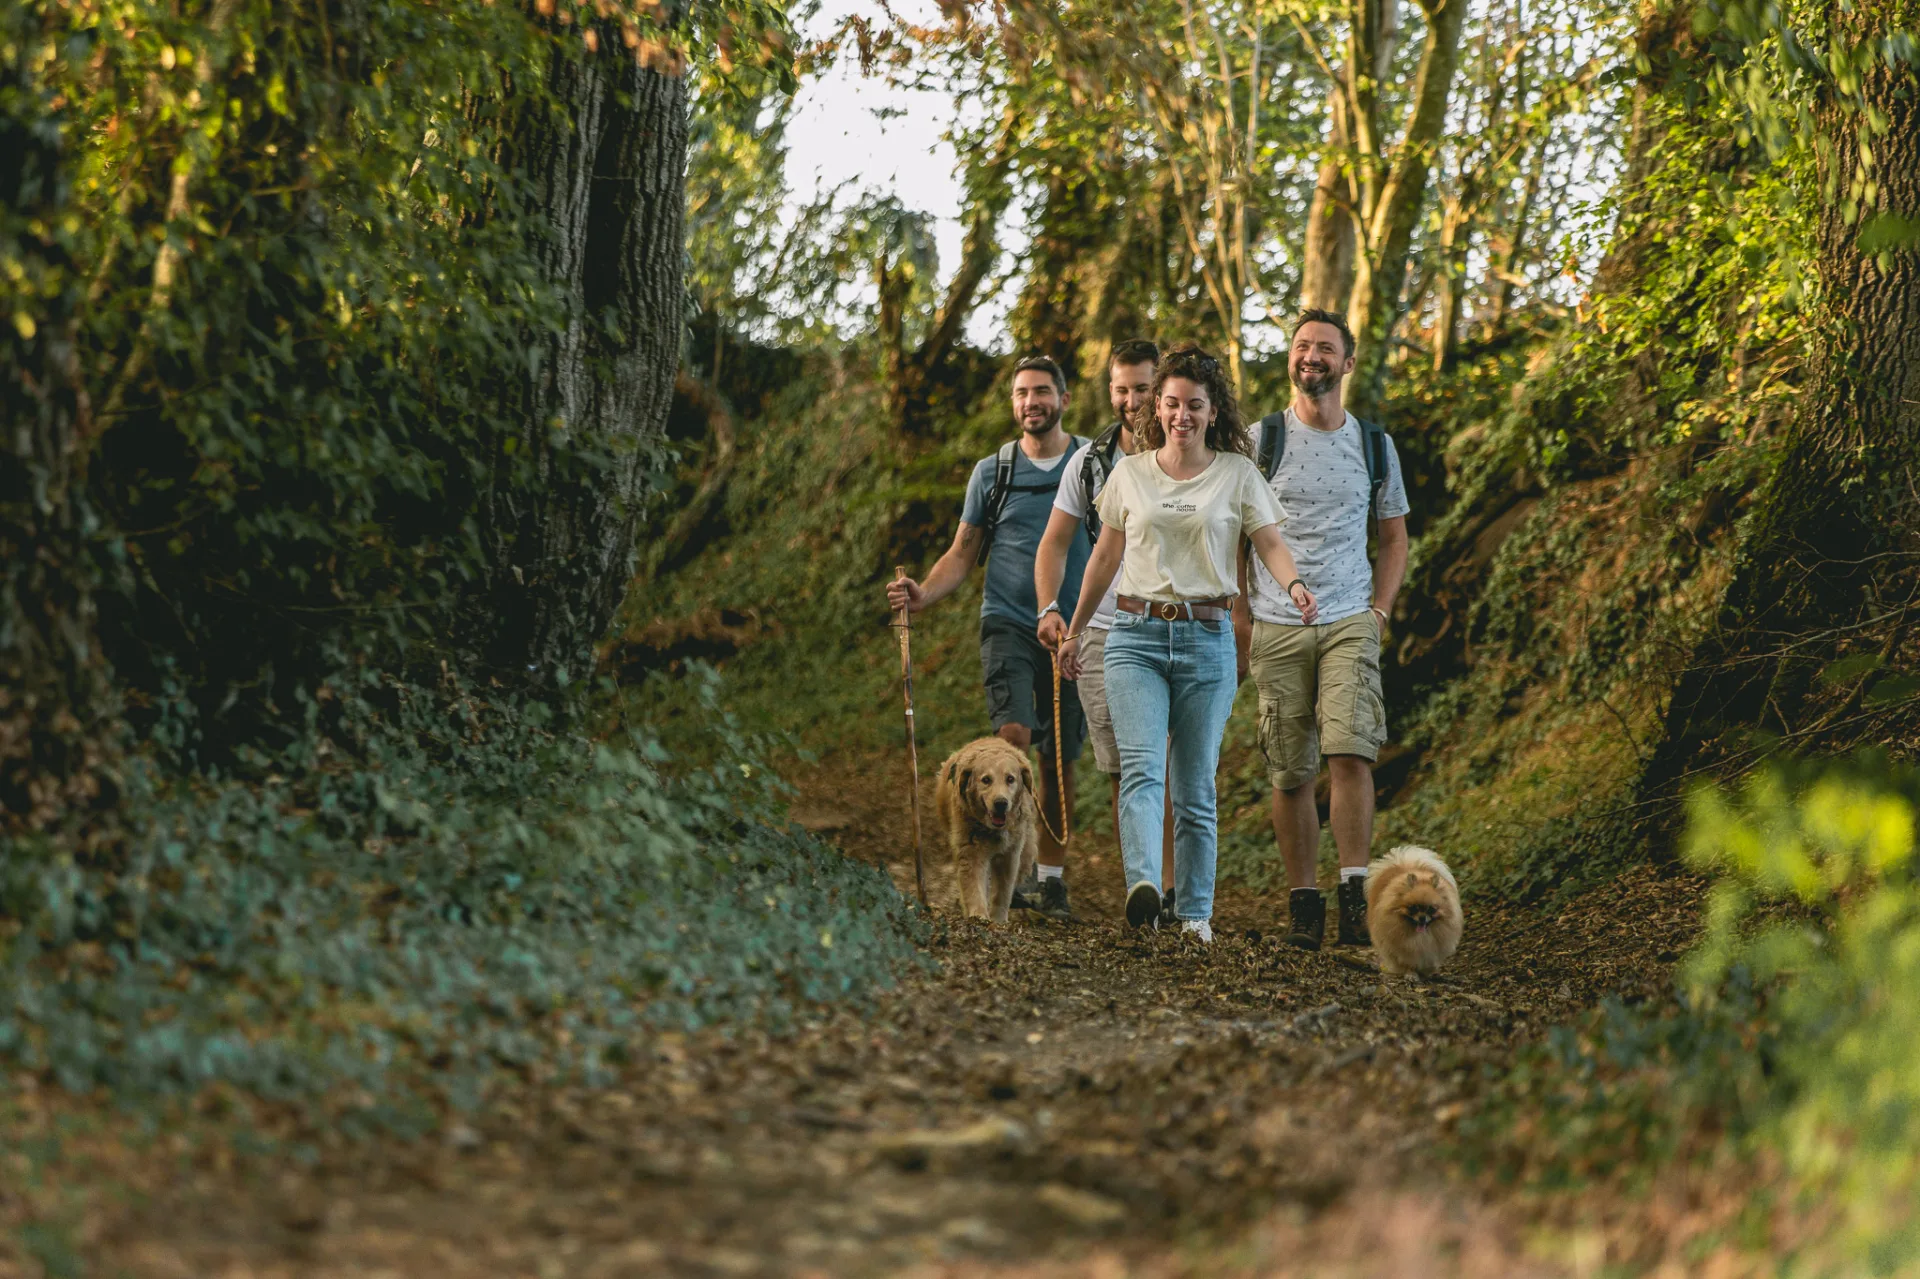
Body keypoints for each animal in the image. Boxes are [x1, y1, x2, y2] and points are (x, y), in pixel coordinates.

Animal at [929, 733, 1036, 921]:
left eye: (1010, 779)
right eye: (986, 780)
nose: (1001, 803)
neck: (992, 829)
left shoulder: (1010, 854)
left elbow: (1002, 891)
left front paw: (998, 920)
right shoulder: (970, 851)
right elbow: (974, 886)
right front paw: (978, 915)